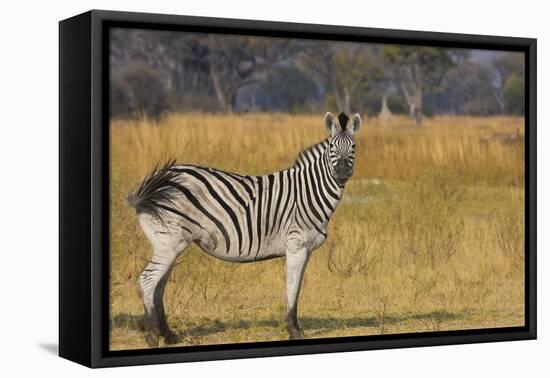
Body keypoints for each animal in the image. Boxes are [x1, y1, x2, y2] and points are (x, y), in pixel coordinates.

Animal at [129, 111, 362, 346]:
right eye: (332, 147)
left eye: (353, 147)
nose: (342, 173)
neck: (309, 191)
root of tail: (156, 183)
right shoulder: (296, 245)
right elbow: (292, 287)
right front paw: (294, 330)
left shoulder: (306, 250)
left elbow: (297, 288)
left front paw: (294, 327)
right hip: (168, 242)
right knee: (148, 281)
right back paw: (152, 336)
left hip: (170, 244)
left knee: (158, 287)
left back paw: (168, 335)